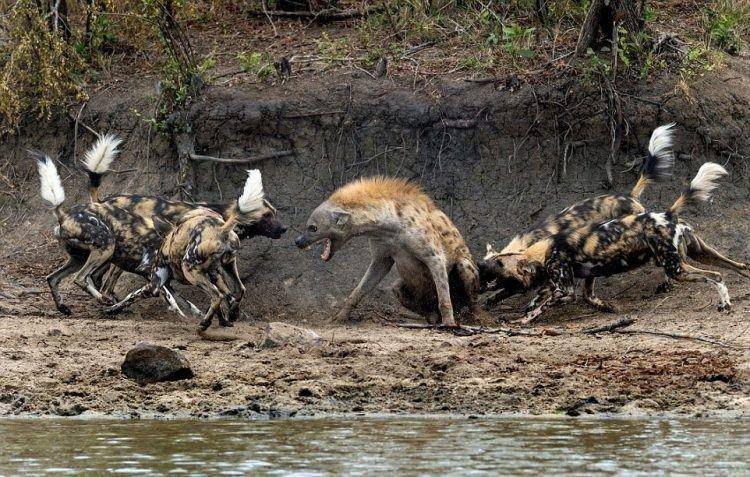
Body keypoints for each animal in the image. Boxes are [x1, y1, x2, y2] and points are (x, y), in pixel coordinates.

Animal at [296, 176, 482, 328]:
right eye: (307, 226)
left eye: (312, 228)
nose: (297, 241)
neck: (390, 226)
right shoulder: (382, 255)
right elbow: (360, 289)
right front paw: (339, 317)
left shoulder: (434, 256)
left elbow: (443, 294)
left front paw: (449, 323)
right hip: (399, 287)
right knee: (399, 289)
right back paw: (431, 318)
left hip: (465, 268)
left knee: (471, 297)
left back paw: (473, 319)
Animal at [524, 162, 736, 322]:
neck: (543, 249)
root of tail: (667, 214)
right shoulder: (580, 276)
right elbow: (541, 299)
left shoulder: (564, 289)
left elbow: (542, 305)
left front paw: (525, 319)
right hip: (682, 261)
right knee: (720, 273)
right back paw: (725, 303)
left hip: (676, 269)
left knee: (715, 275)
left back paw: (725, 304)